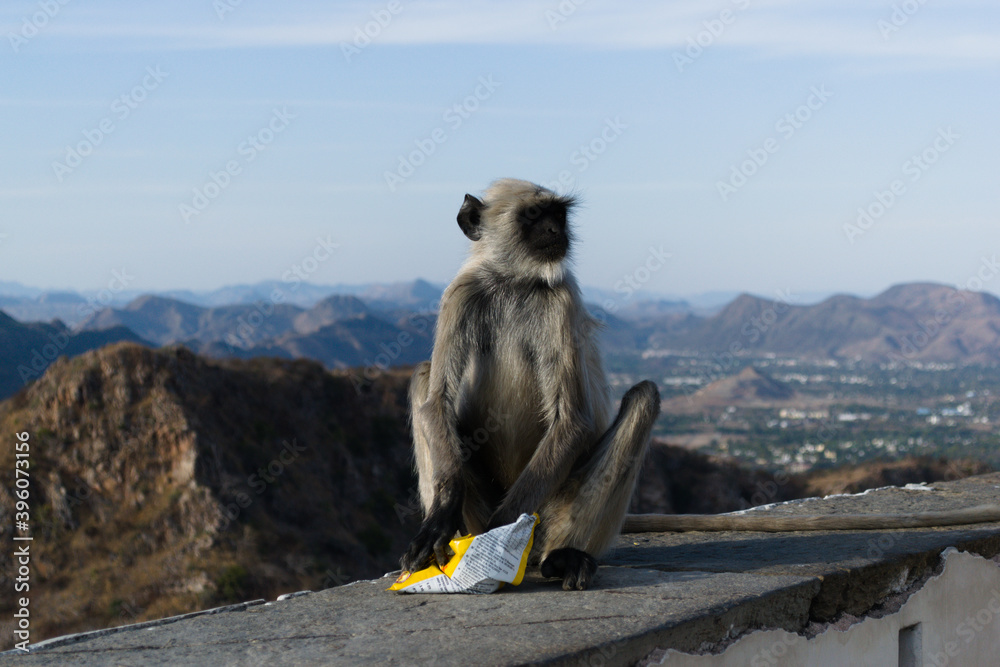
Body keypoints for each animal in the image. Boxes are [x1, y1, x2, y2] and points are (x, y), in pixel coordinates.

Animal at [400, 178, 661, 591]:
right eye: (534, 216)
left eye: (559, 214)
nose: (557, 231)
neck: (514, 281)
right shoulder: (460, 295)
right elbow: (437, 401)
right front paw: (440, 520)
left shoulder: (561, 300)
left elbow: (572, 420)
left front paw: (494, 541)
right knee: (423, 378)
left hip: (554, 502)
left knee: (644, 398)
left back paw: (560, 556)